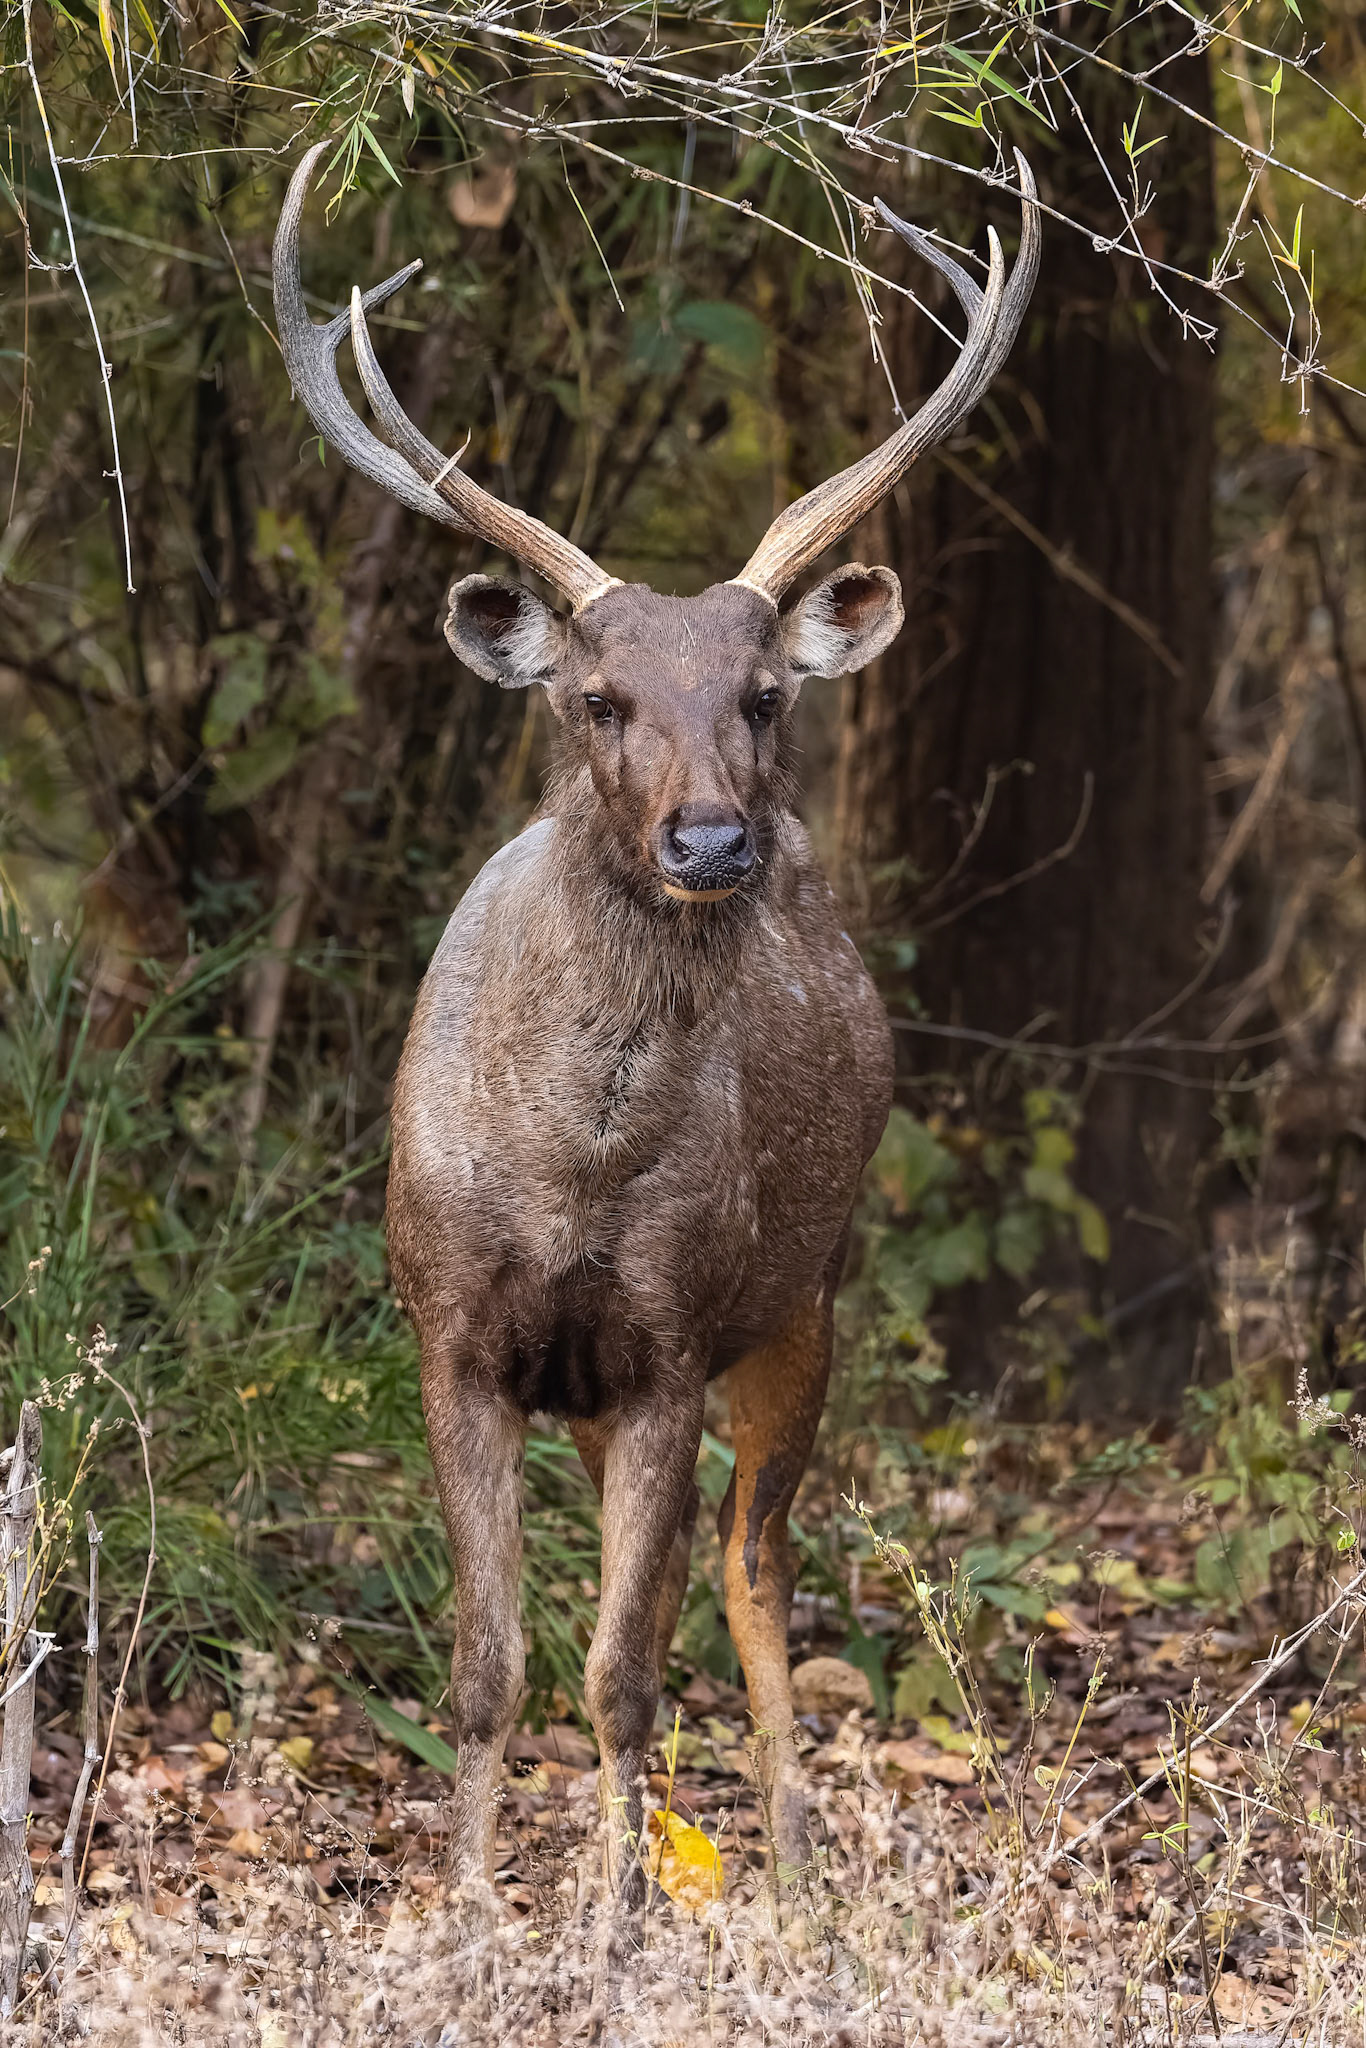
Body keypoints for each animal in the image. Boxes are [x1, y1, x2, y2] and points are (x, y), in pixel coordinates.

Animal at [273, 143, 1040, 1920]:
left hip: (807, 1295)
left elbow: (623, 1670)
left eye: (761, 693)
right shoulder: (450, 1333)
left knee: (758, 1571)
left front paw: (616, 1923)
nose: (709, 840)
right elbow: (485, 1669)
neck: (574, 1170)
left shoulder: (675, 1339)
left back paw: (795, 1870)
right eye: (597, 697)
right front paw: (469, 1920)